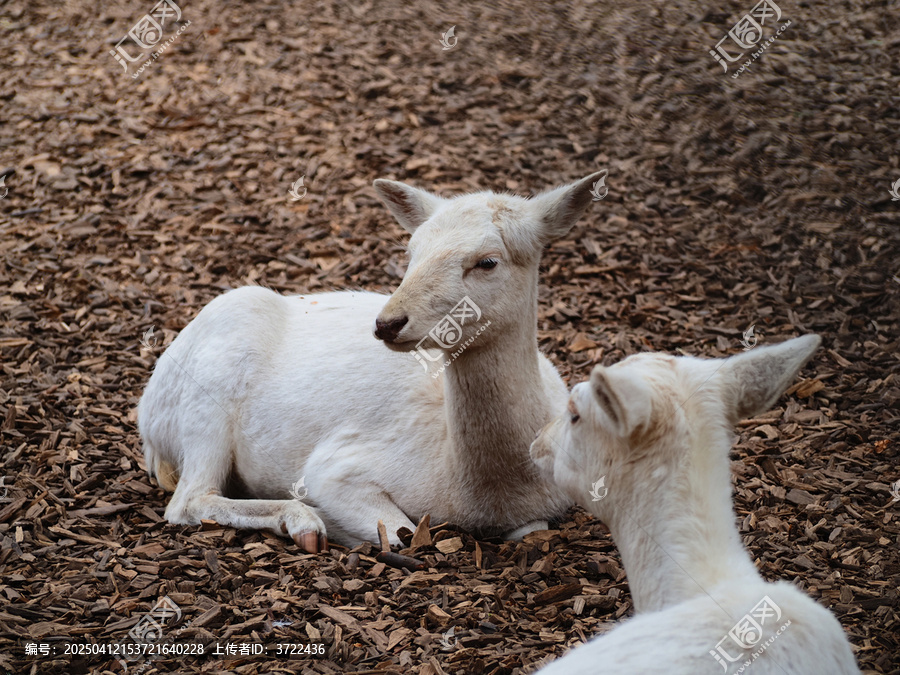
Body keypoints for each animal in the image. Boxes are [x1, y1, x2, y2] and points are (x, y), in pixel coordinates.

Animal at [137, 172, 607, 553]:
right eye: (412, 251)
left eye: (487, 261)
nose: (388, 323)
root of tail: (146, 414)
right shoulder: (335, 468)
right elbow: (402, 535)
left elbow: (532, 530)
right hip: (204, 405)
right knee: (188, 500)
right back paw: (303, 523)